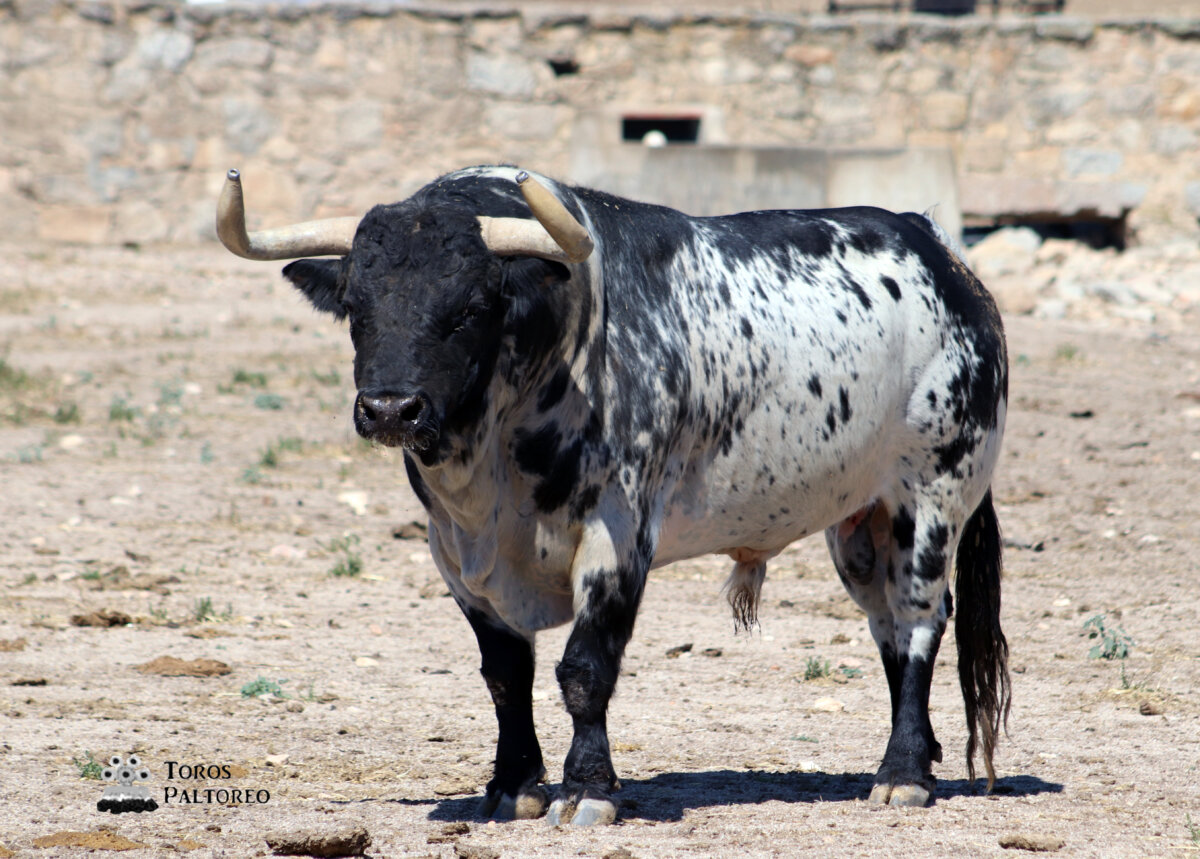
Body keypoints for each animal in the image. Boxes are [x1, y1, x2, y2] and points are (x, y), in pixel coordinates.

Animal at [215, 164, 1010, 825]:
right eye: (356, 303)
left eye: (471, 305)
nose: (389, 409)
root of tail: (941, 252)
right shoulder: (457, 554)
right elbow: (505, 676)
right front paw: (513, 786)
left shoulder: (618, 533)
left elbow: (583, 670)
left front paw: (588, 790)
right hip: (858, 523)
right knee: (887, 629)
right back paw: (918, 759)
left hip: (931, 500)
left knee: (918, 626)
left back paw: (902, 775)